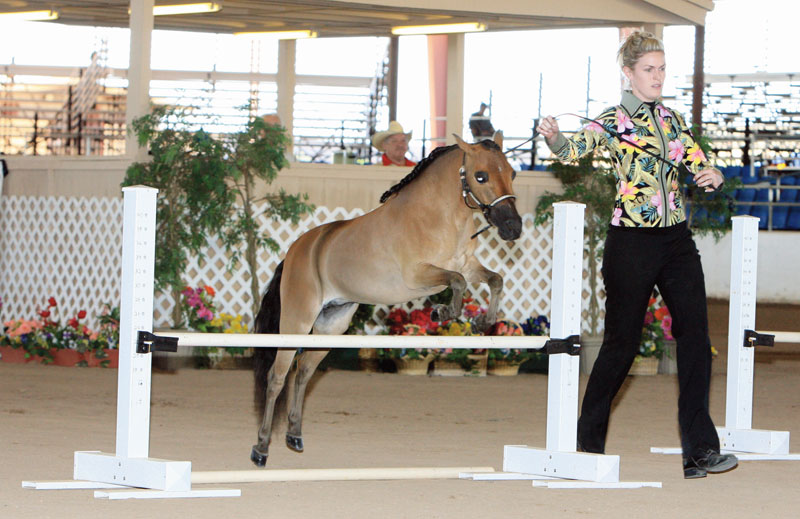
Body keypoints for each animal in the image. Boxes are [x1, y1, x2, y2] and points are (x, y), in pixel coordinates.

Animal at [253, 134, 520, 468]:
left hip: (332, 326)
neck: (437, 216)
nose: (513, 227)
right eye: (480, 176)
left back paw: (294, 435)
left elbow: (494, 280)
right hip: (297, 321)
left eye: (512, 173)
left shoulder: (468, 266)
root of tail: (297, 250)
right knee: (277, 377)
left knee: (303, 373)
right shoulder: (418, 276)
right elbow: (457, 282)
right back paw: (261, 449)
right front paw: (442, 312)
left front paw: (485, 321)